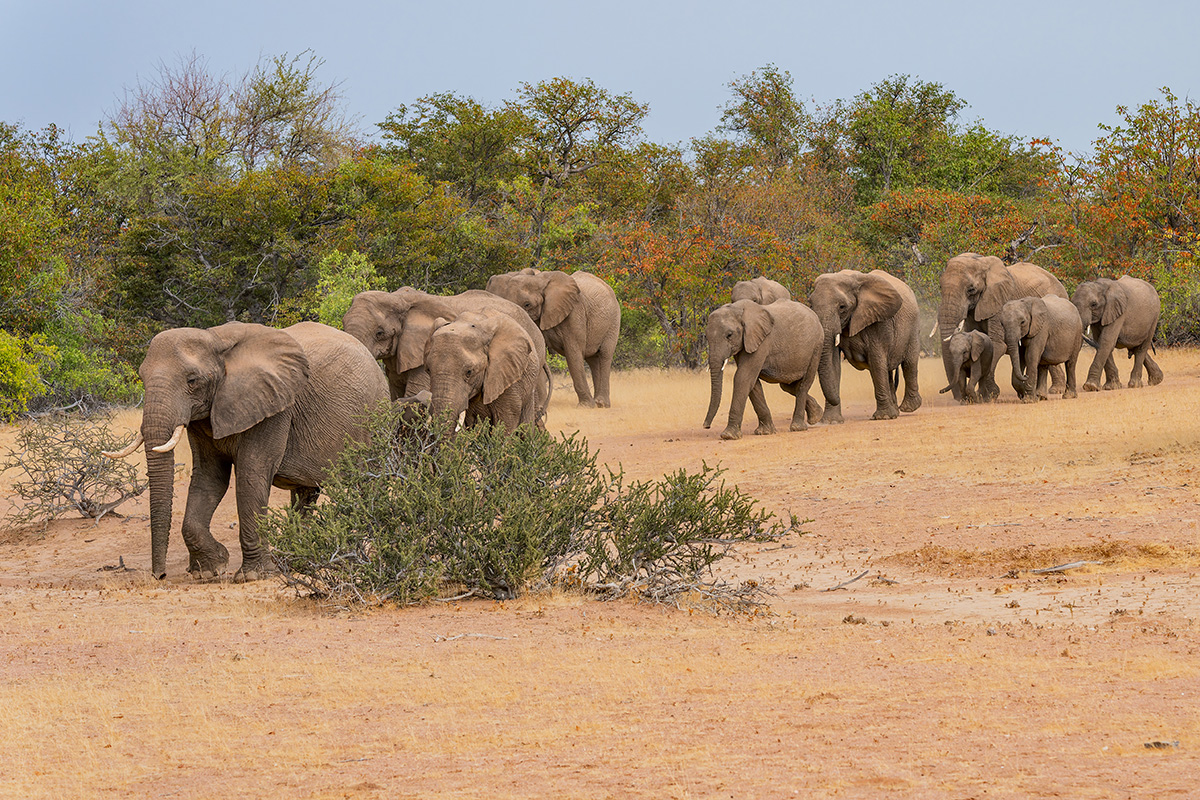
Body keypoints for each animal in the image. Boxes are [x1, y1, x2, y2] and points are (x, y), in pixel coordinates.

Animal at [103, 321, 389, 581]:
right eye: (142, 378)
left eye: (192, 381)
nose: (160, 576)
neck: (216, 340)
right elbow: (209, 478)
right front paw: (211, 570)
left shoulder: (275, 407)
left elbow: (252, 474)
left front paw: (252, 576)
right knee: (305, 495)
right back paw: (294, 559)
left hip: (375, 417)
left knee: (366, 483)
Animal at [484, 268, 621, 408]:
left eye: (527, 305)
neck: (538, 280)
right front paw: (539, 406)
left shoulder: (574, 312)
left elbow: (573, 353)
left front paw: (586, 406)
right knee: (593, 360)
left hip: (613, 321)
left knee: (604, 355)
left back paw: (601, 404)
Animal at [703, 299, 823, 440]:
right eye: (706, 336)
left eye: (729, 335)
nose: (706, 426)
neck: (737, 308)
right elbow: (752, 382)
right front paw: (765, 432)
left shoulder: (762, 341)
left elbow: (742, 377)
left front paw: (729, 436)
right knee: (788, 386)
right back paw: (816, 416)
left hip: (816, 347)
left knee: (803, 384)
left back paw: (798, 427)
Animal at [809, 269, 922, 422]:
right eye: (810, 304)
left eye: (842, 307)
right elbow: (833, 363)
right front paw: (831, 421)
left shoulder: (878, 320)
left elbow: (876, 360)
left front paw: (883, 417)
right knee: (888, 371)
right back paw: (896, 412)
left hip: (913, 327)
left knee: (909, 363)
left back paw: (909, 408)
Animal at [937, 253, 1068, 401]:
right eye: (940, 287)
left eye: (971, 289)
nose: (960, 399)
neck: (981, 262)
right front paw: (983, 395)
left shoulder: (999, 302)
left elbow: (997, 344)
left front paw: (990, 395)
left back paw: (1054, 391)